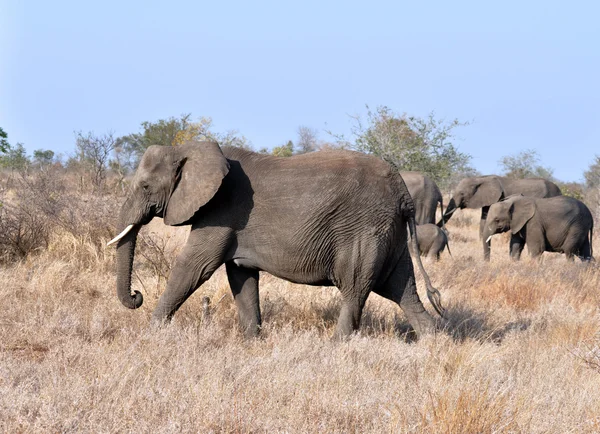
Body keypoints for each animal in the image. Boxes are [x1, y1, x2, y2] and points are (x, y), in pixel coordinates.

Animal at [108, 142, 446, 340]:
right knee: (401, 287)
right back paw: (432, 341)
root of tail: (403, 193)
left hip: (364, 228)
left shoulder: (220, 211)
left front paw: (151, 334)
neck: (190, 148)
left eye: (146, 186)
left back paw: (337, 345)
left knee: (356, 286)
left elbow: (193, 267)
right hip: (389, 232)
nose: (137, 295)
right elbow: (241, 276)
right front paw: (252, 341)